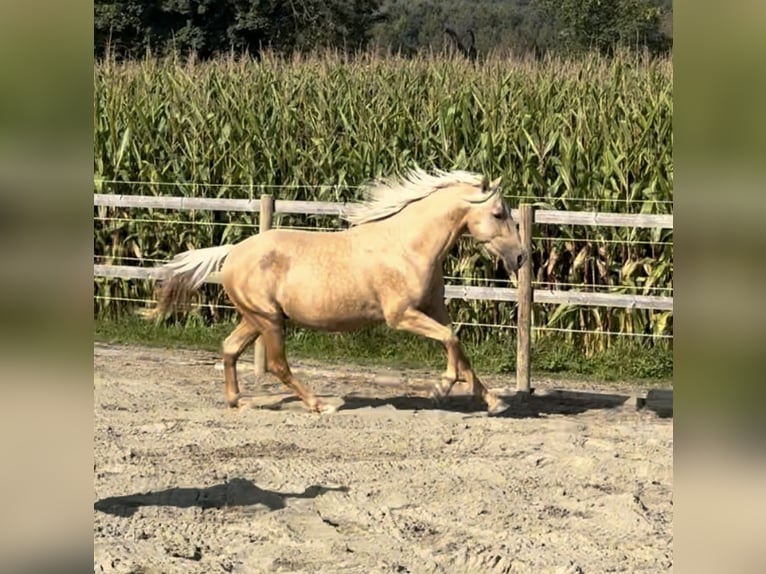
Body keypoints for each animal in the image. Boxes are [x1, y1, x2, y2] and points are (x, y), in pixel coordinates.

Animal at [153, 169, 532, 416]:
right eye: (498, 213)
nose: (521, 257)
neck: (408, 246)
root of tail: (232, 250)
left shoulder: (435, 309)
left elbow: (459, 348)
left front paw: (495, 402)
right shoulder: (401, 316)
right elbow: (452, 342)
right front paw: (441, 388)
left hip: (256, 318)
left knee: (230, 348)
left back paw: (238, 402)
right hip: (269, 320)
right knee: (277, 364)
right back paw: (321, 405)